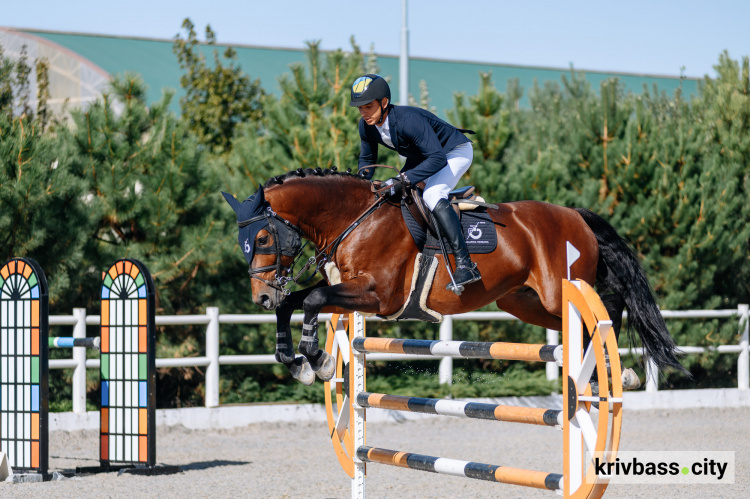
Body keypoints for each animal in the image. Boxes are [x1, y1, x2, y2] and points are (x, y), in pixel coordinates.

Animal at [222, 168, 688, 386]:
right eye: (243, 243)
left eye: (262, 238)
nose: (260, 297)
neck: (354, 218)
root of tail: (576, 215)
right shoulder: (349, 287)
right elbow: (296, 302)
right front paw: (295, 362)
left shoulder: (378, 296)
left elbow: (313, 301)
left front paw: (316, 361)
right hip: (523, 301)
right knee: (582, 322)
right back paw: (603, 370)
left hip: (561, 290)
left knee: (609, 305)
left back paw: (614, 369)